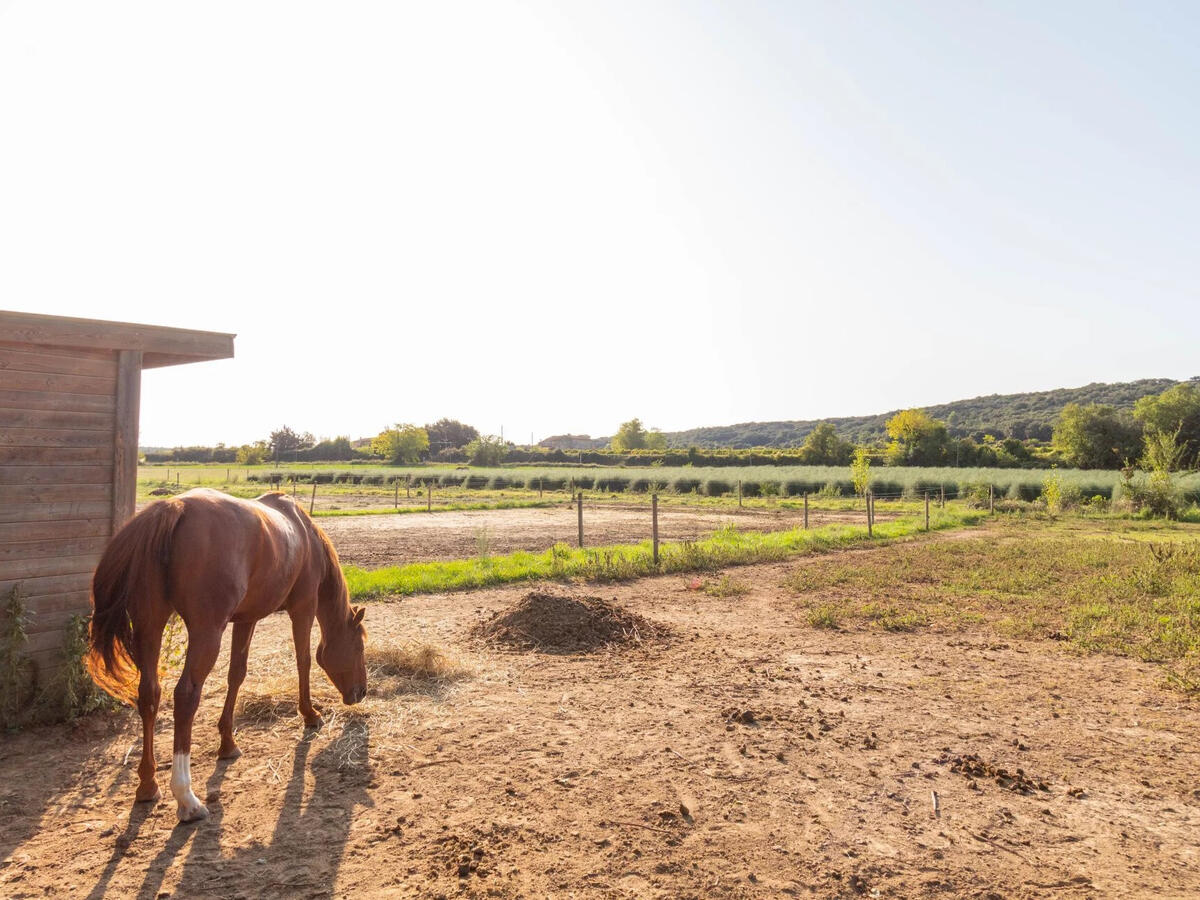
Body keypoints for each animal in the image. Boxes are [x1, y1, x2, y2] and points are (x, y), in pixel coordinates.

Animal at [86, 494, 364, 825]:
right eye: (359, 645)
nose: (361, 692)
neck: (304, 535)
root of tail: (174, 508)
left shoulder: (246, 618)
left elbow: (237, 674)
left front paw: (228, 742)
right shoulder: (304, 607)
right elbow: (304, 660)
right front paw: (310, 714)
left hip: (150, 625)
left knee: (149, 695)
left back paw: (148, 784)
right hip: (206, 632)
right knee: (186, 696)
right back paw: (186, 798)